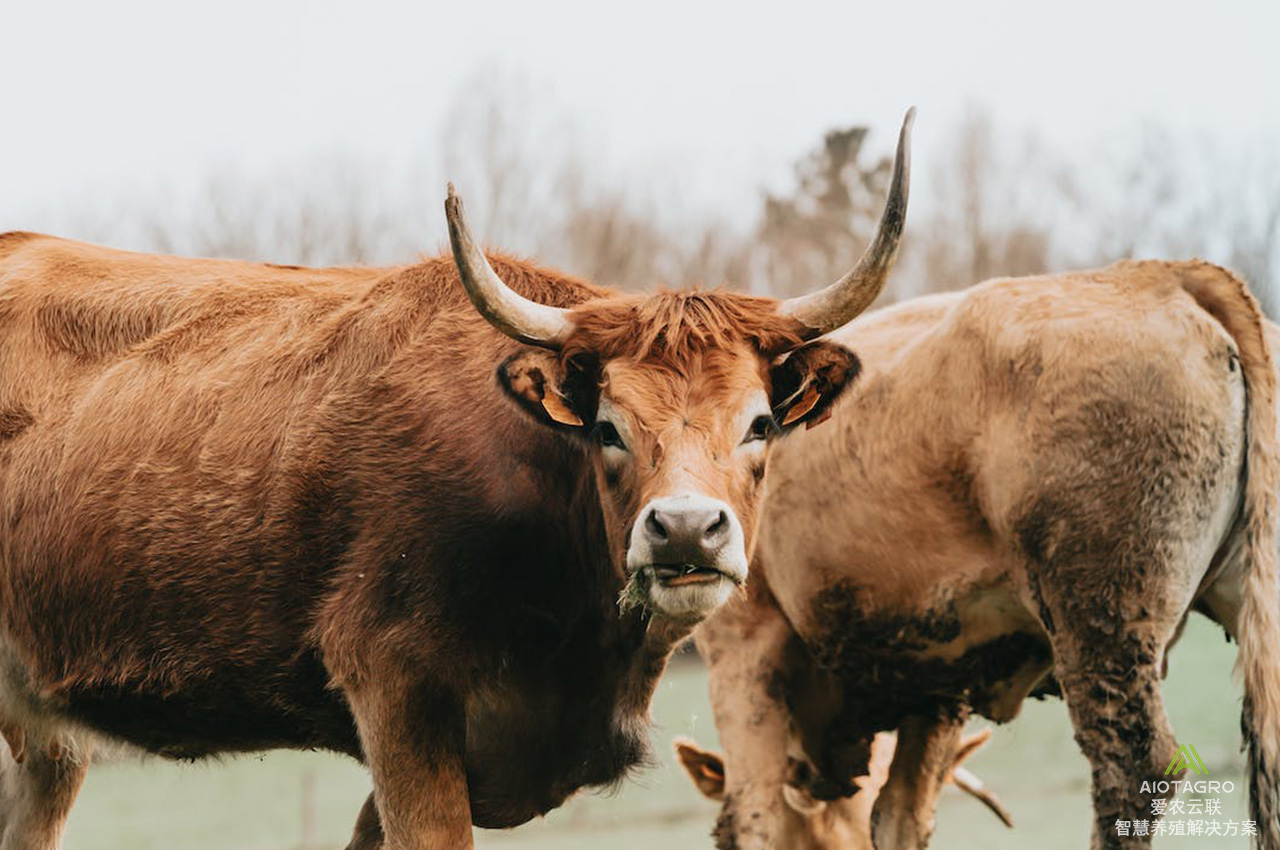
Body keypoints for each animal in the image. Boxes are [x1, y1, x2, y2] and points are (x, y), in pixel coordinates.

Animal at [691, 267, 1280, 850]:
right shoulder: (940, 684)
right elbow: (898, 816)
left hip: (1099, 623)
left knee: (1131, 766)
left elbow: (755, 817)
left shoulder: (744, 647)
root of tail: (1165, 277)